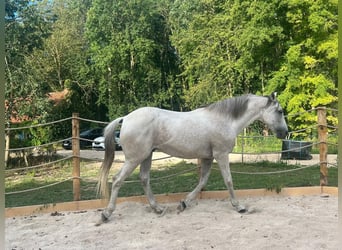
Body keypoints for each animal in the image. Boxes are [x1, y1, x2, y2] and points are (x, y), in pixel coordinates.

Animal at [96, 92, 288, 225]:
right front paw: (239, 206)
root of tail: (126, 118)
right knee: (117, 180)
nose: (285, 133)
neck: (225, 120)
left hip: (146, 156)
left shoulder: (208, 158)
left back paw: (158, 209)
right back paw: (106, 214)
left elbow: (202, 181)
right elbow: (228, 180)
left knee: (144, 179)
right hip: (134, 158)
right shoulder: (221, 155)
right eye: (279, 111)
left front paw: (184, 203)